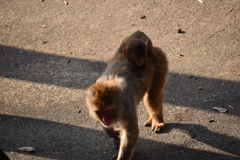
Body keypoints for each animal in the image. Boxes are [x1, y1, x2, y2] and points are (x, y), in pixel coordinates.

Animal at [86, 30, 169, 159]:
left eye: (108, 111)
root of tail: (155, 47)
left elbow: (131, 133)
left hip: (160, 61)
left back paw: (157, 119)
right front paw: (114, 134)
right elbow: (108, 129)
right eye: (99, 112)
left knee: (153, 95)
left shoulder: (126, 107)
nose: (105, 120)